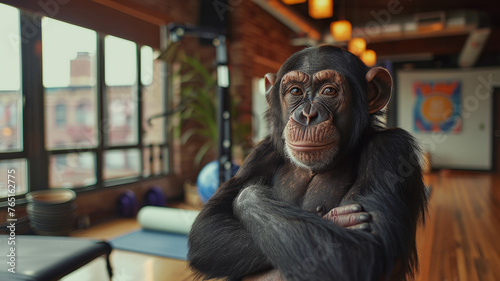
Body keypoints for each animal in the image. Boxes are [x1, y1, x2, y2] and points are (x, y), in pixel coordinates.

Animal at [186, 45, 428, 280]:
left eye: (329, 91)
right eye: (295, 91)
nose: (308, 115)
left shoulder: (391, 147)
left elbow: (364, 250)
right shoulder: (260, 154)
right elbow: (210, 224)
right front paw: (334, 220)